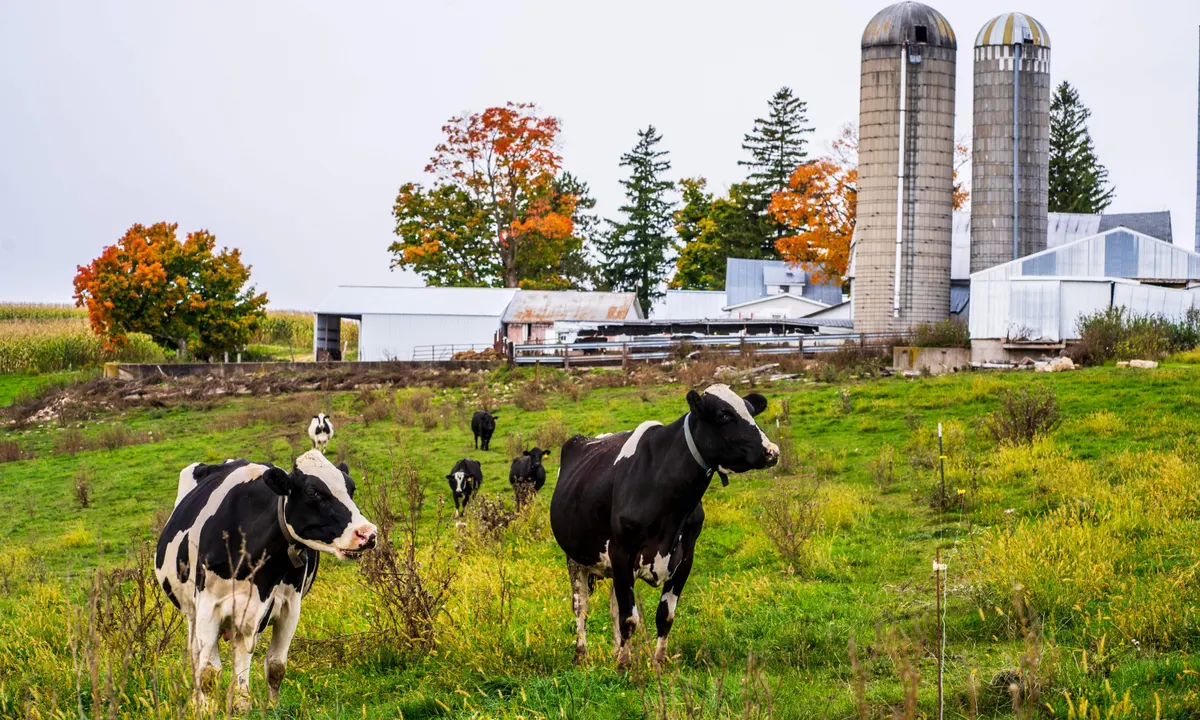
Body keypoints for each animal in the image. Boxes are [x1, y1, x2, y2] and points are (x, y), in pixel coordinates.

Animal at [156, 451, 374, 710]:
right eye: (313, 492)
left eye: (351, 488)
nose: (367, 534)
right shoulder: (209, 607)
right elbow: (208, 672)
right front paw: (207, 710)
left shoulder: (287, 606)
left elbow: (276, 665)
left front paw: (266, 707)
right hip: (192, 612)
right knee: (197, 656)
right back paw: (201, 702)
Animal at [547, 386, 772, 667]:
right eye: (723, 414)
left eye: (751, 411)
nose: (771, 451)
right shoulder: (622, 552)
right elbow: (629, 618)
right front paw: (624, 665)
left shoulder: (685, 557)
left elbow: (664, 615)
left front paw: (657, 662)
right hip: (575, 558)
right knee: (581, 607)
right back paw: (582, 656)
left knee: (612, 607)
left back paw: (614, 650)